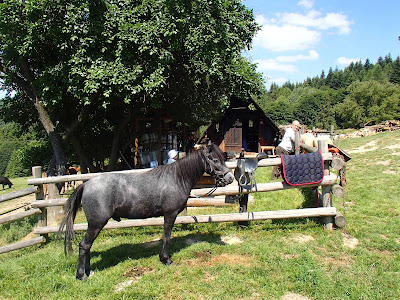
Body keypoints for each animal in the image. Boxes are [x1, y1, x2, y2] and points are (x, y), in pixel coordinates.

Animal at [59, 144, 234, 280]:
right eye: (215, 160)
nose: (230, 178)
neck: (177, 178)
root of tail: (86, 184)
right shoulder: (170, 215)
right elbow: (166, 237)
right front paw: (166, 259)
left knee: (87, 246)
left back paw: (88, 271)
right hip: (96, 223)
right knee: (84, 245)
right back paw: (82, 275)